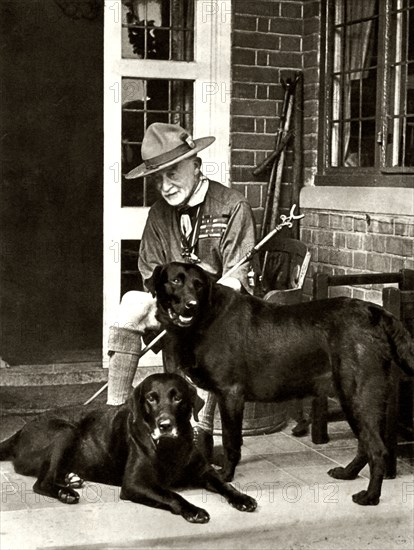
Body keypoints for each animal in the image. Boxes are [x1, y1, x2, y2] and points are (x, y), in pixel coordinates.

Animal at [0, 374, 258, 524]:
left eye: (177, 398)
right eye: (151, 398)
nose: (165, 425)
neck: (170, 447)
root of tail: (20, 430)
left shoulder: (205, 471)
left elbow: (225, 485)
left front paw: (242, 498)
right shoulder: (136, 484)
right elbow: (172, 494)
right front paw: (193, 510)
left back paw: (71, 479)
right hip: (65, 431)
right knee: (41, 483)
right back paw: (66, 492)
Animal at [150, 264, 414, 508]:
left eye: (199, 285)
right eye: (176, 280)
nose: (191, 305)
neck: (205, 317)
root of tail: (376, 311)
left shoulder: (230, 393)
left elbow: (230, 441)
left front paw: (225, 476)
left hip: (358, 395)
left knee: (377, 449)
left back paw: (370, 496)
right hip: (355, 398)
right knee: (364, 445)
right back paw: (347, 474)